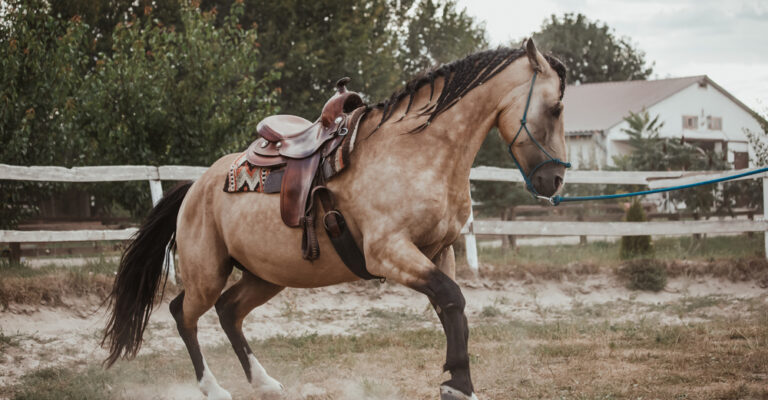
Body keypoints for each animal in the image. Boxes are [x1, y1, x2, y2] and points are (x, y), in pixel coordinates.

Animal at [102, 39, 568, 400]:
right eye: (556, 107)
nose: (556, 178)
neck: (417, 151)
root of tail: (194, 188)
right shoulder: (388, 253)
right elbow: (452, 299)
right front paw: (460, 386)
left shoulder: (439, 252)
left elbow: (450, 307)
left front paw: (456, 380)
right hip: (207, 273)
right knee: (183, 313)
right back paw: (213, 388)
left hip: (265, 275)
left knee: (229, 311)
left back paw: (265, 383)